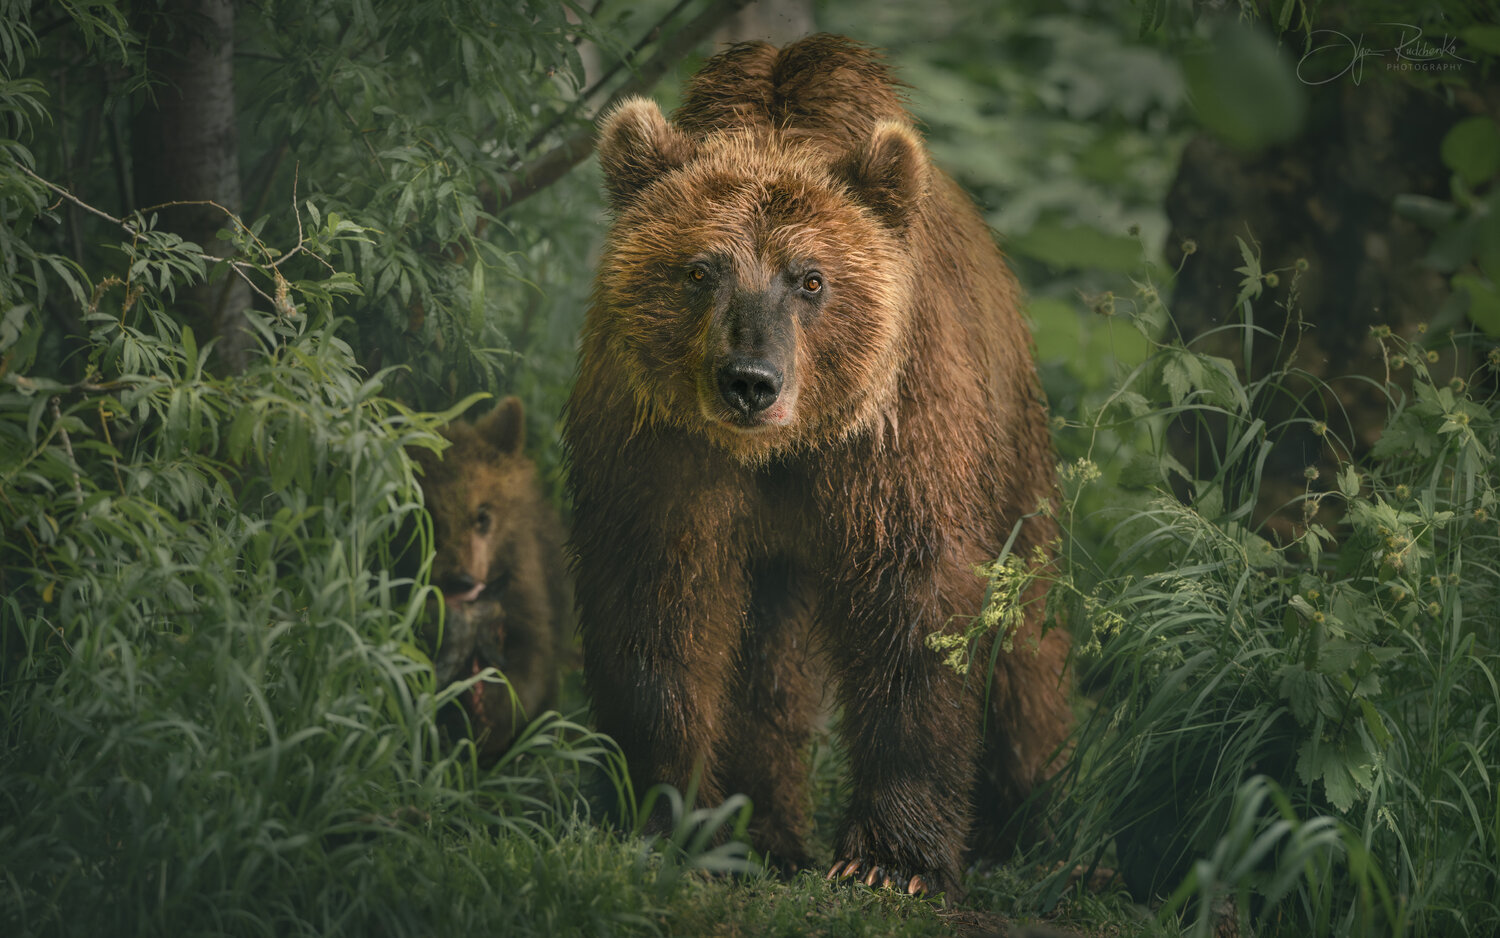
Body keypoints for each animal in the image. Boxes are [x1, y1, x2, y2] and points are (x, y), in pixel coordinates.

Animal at [564, 35, 1071, 899]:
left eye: (812, 279)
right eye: (699, 270)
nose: (749, 381)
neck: (780, 454)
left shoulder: (897, 439)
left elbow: (918, 612)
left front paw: (891, 859)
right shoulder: (659, 443)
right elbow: (657, 608)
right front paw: (672, 816)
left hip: (1011, 446)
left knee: (1024, 638)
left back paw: (1026, 818)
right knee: (767, 669)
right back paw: (766, 830)